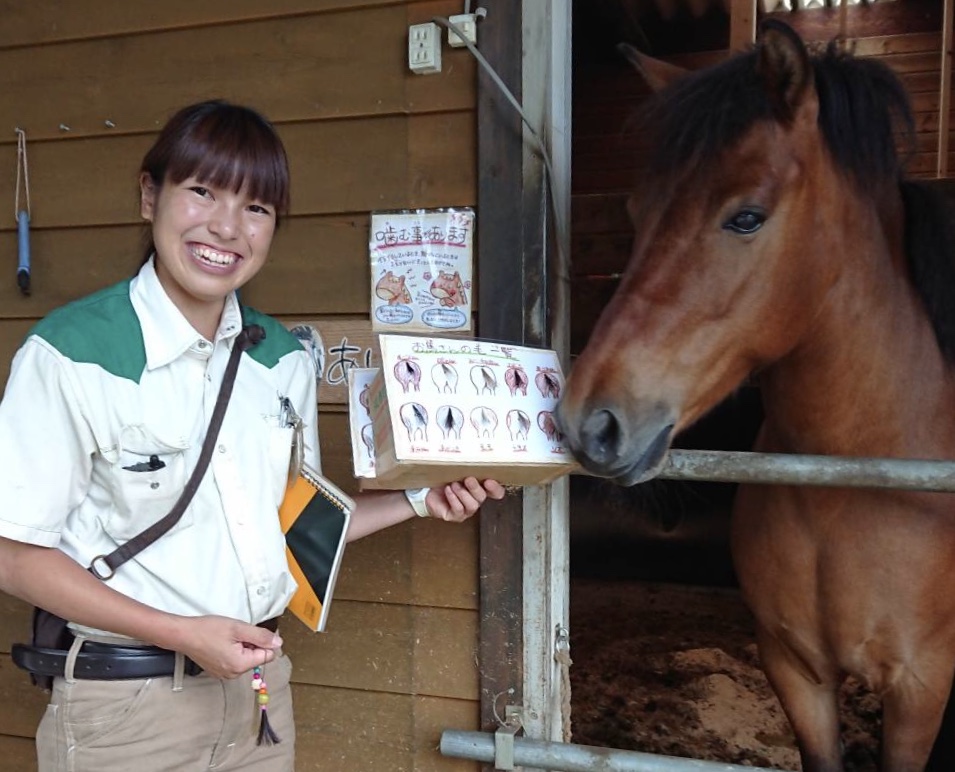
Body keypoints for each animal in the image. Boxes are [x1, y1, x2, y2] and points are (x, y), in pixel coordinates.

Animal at [555, 20, 955, 772]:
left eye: (745, 217)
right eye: (636, 212)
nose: (588, 423)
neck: (851, 489)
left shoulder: (921, 689)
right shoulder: (795, 672)